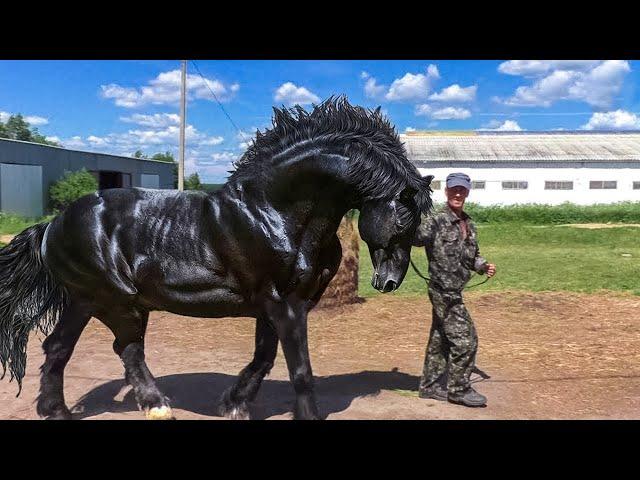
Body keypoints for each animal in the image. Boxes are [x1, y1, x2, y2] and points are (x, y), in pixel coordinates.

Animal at [0, 98, 432, 420]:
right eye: (404, 218)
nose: (389, 281)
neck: (274, 213)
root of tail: (52, 225)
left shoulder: (274, 307)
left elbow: (264, 358)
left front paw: (233, 403)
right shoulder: (285, 304)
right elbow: (300, 370)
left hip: (85, 300)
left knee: (59, 348)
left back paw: (56, 410)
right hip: (115, 302)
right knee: (127, 350)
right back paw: (156, 406)